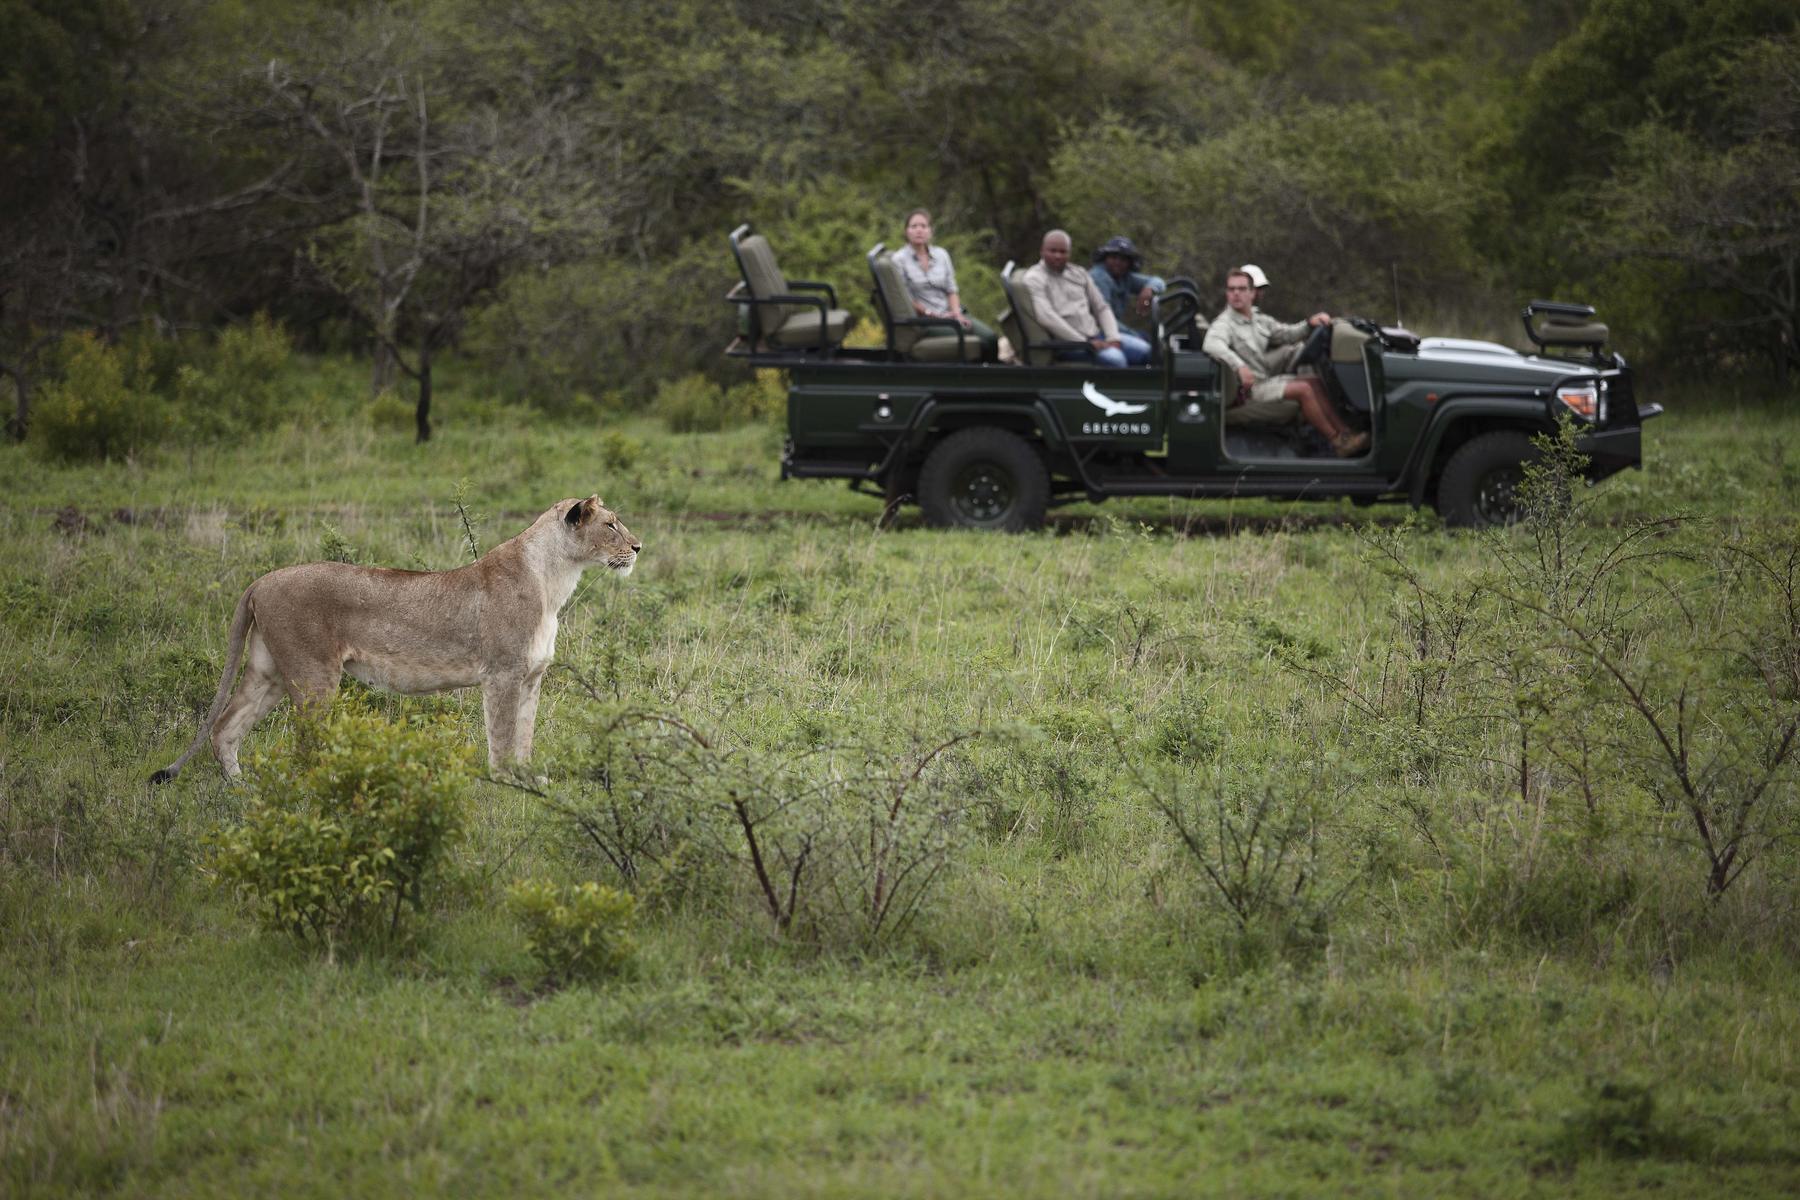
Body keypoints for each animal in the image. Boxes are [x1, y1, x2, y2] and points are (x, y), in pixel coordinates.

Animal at [150, 495, 640, 783]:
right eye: (611, 525)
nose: (638, 548)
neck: (555, 581)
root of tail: (261, 580)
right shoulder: (502, 674)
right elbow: (501, 737)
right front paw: (504, 785)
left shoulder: (532, 676)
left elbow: (525, 735)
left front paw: (529, 782)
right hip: (313, 675)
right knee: (303, 744)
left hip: (268, 671)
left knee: (224, 727)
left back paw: (240, 790)